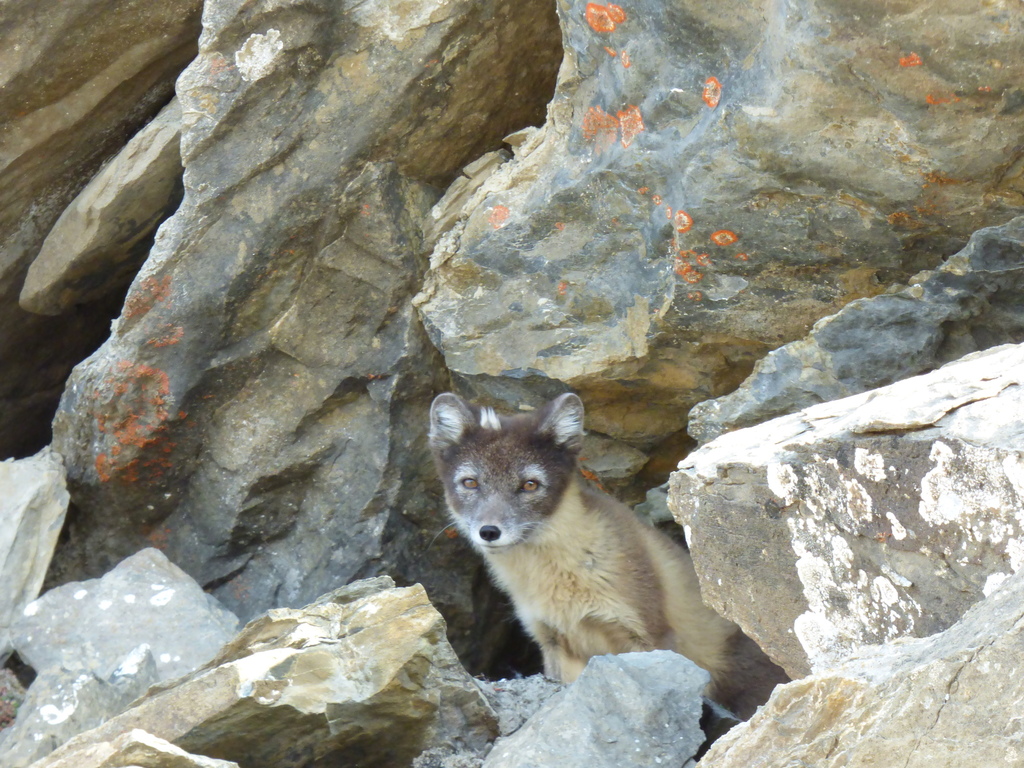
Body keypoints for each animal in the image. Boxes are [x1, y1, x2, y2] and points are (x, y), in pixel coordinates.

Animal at [428, 393, 786, 720]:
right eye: (470, 482)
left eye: (529, 484)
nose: (489, 531)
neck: (558, 580)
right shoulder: (554, 644)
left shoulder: (649, 637)